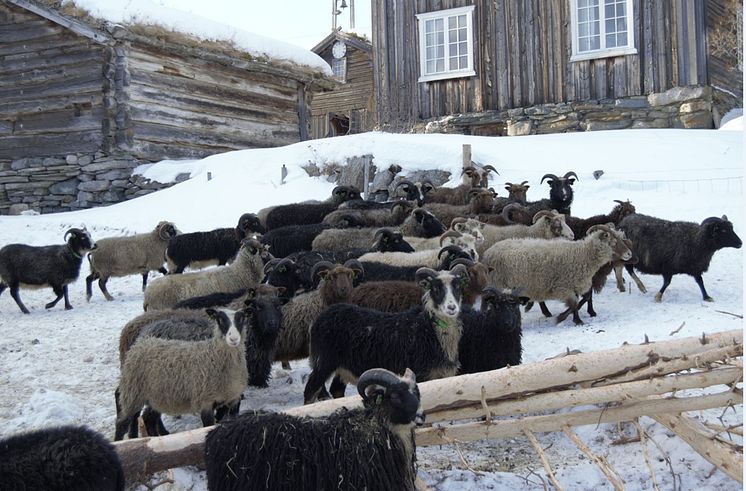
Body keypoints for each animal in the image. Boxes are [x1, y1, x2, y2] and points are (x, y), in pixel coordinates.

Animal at [113, 308, 247, 442]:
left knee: (148, 418)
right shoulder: (206, 401)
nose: (234, 339)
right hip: (133, 392)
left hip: (156, 395)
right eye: (220, 320)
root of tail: (141, 342)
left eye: (241, 318)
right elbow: (208, 426)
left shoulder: (231, 398)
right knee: (122, 420)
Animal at [300, 266, 464, 404]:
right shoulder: (421, 375)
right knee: (310, 390)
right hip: (324, 361)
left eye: (457, 287)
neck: (430, 330)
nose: (451, 308)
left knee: (336, 390)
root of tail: (321, 316)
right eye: (436, 288)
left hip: (343, 366)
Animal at [480, 227, 632, 326]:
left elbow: (582, 300)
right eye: (614, 242)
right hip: (498, 282)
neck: (583, 255)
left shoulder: (574, 284)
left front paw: (576, 318)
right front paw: (565, 319)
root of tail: (488, 252)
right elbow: (574, 303)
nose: (629, 254)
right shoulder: (562, 287)